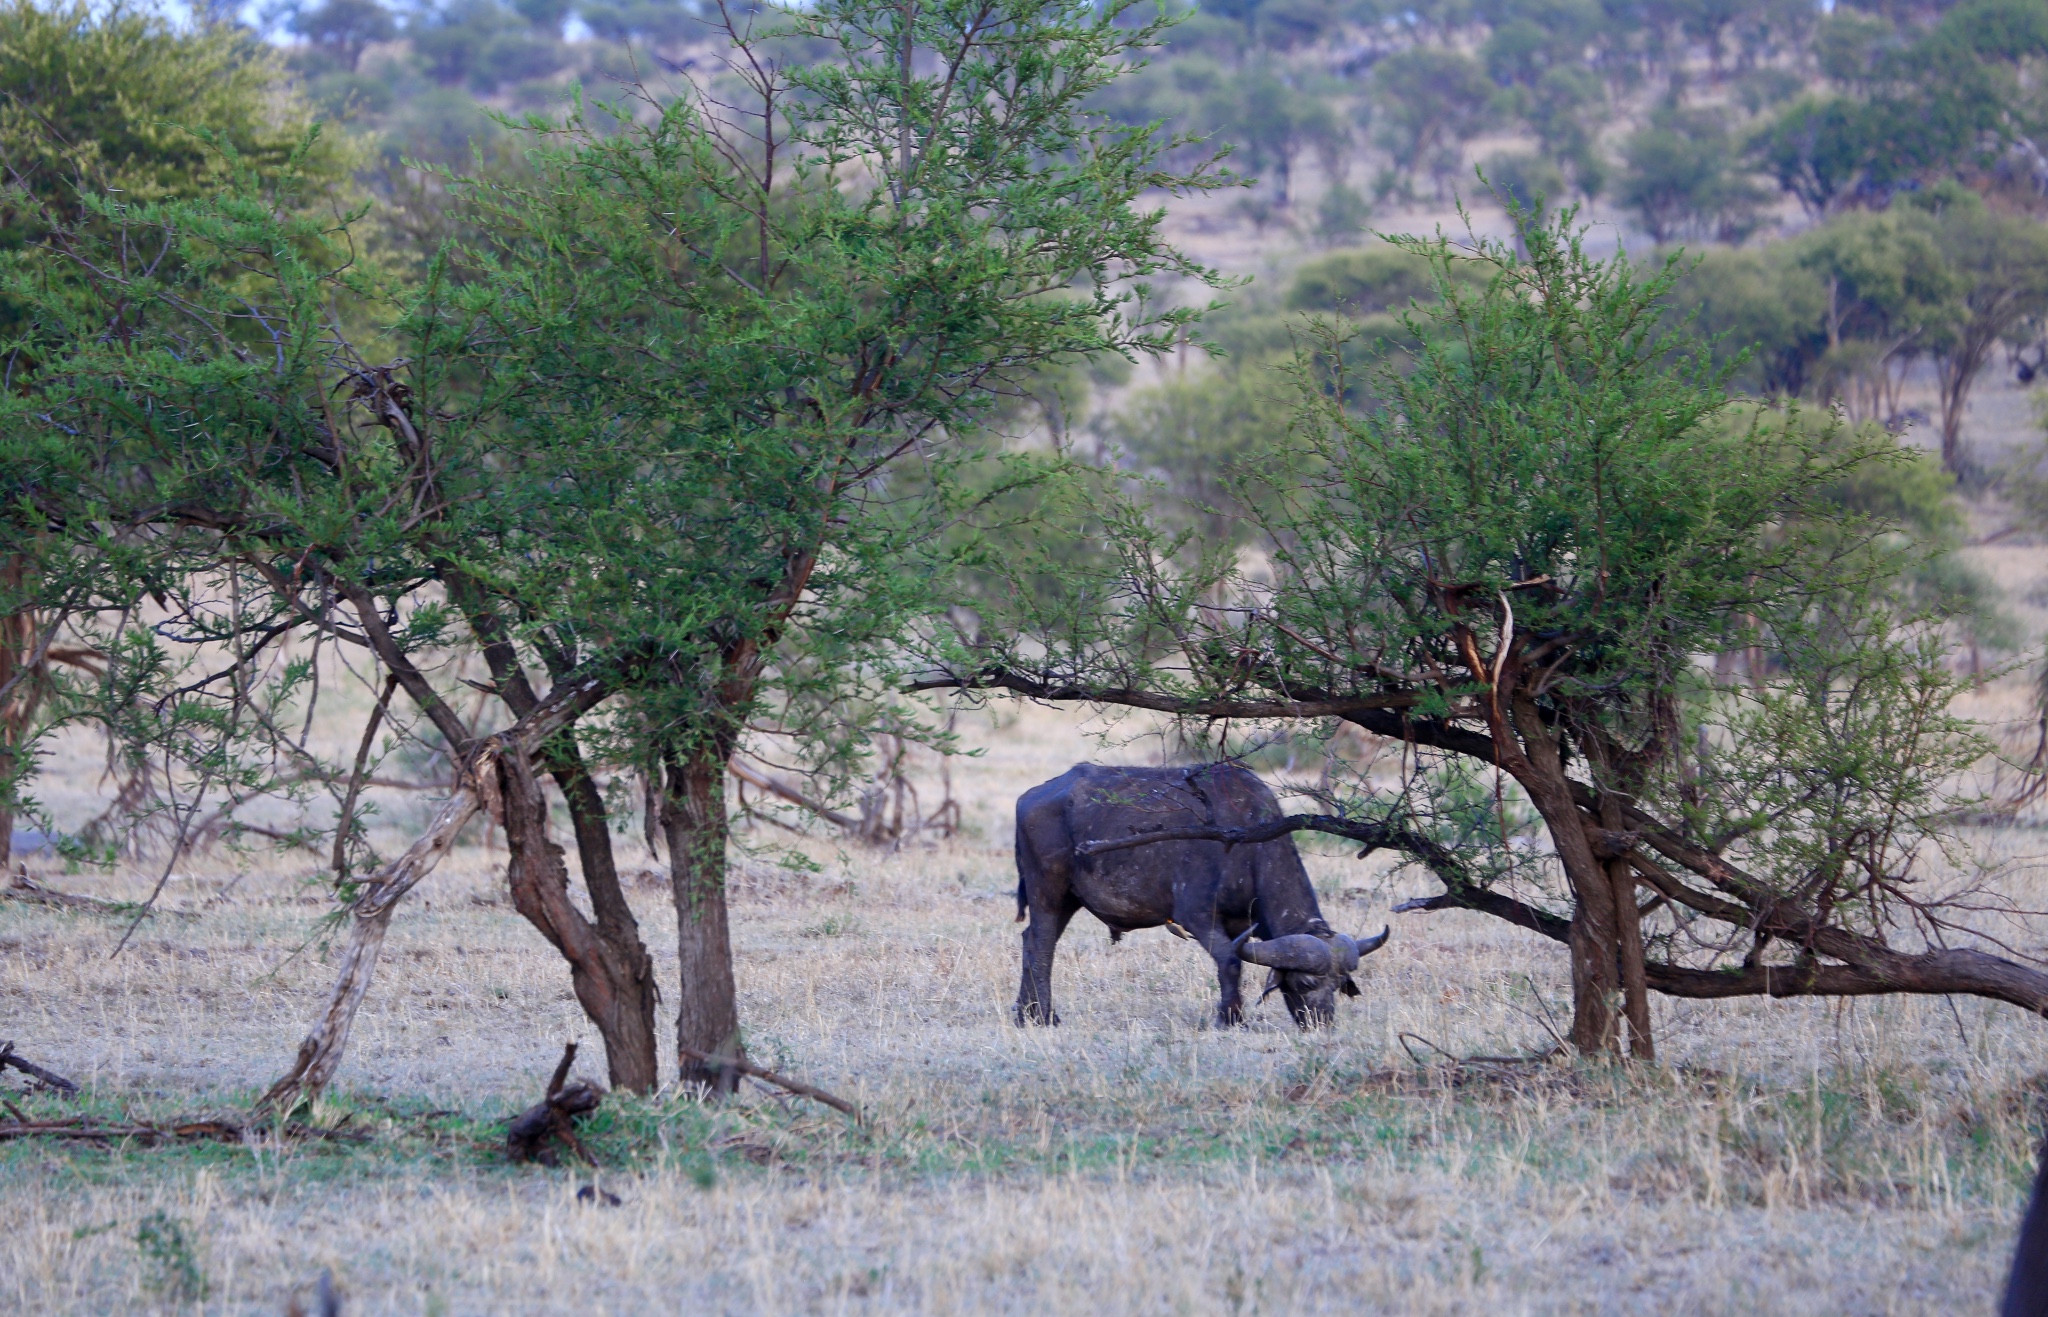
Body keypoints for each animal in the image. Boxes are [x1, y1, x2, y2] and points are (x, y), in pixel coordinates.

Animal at [1011, 761, 1392, 1032]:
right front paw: (1231, 1018)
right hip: (1048, 890)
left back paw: (1025, 1014)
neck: (1248, 851)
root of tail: (1031, 796)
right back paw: (1045, 1016)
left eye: (1338, 984)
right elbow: (1231, 961)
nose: (1321, 1023)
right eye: (1306, 982)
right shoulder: (1196, 916)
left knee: (1031, 940)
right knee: (1042, 944)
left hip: (1069, 899)